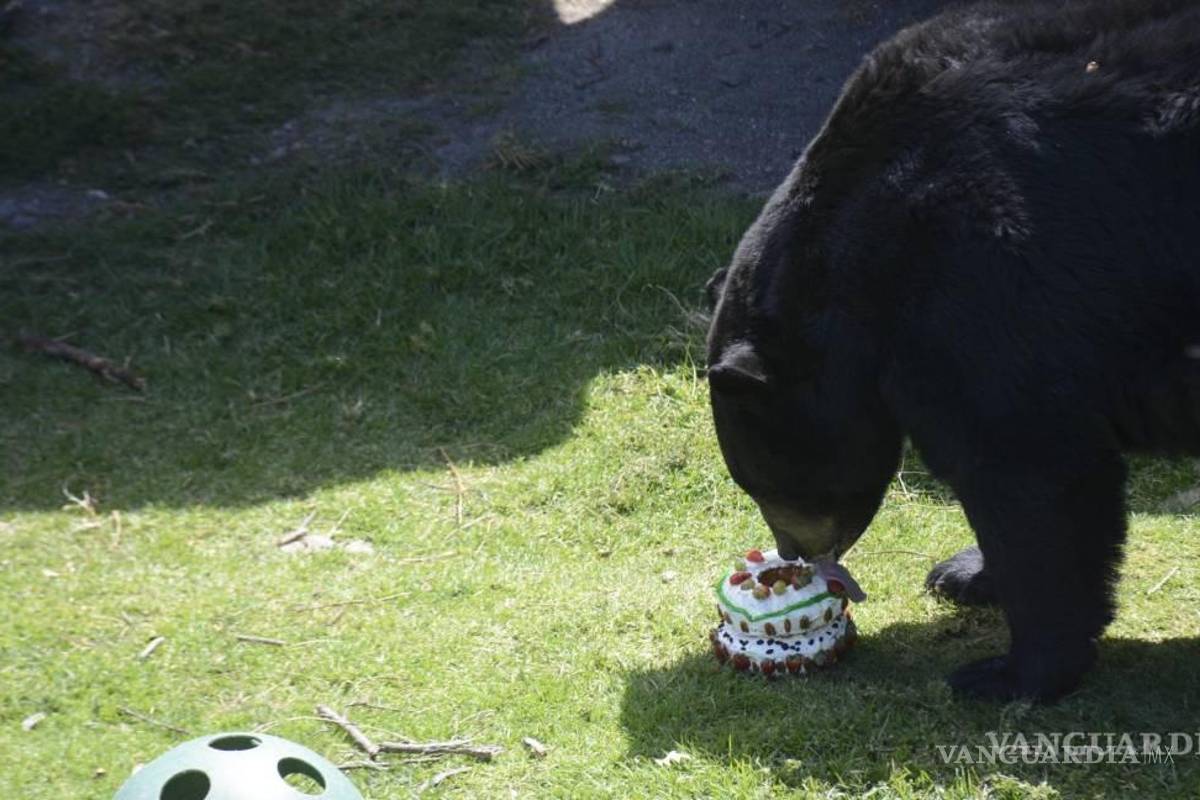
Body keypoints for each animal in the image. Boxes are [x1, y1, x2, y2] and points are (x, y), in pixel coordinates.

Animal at [704, 0, 1200, 703]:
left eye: (767, 485)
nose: (794, 554)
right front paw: (964, 573)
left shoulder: (979, 280)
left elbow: (1030, 470)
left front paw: (1010, 672)